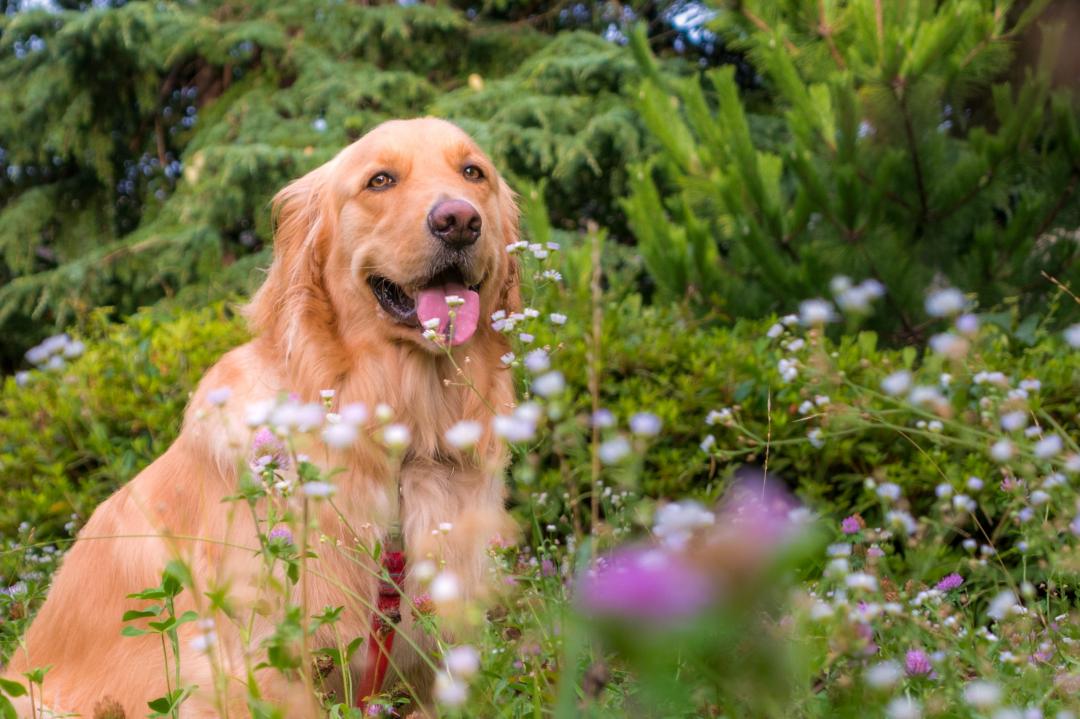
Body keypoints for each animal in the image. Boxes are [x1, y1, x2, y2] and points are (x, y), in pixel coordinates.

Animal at [3, 118, 518, 716]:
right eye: (380, 180)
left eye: (473, 172)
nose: (459, 221)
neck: (398, 440)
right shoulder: (273, 667)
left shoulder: (438, 668)